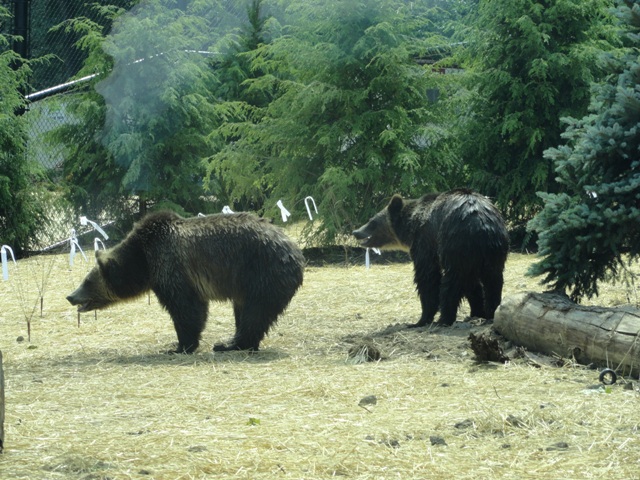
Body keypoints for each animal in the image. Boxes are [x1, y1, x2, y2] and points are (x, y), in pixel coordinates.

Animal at [67, 211, 305, 353]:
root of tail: (295, 251)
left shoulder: (171, 266)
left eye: (87, 281)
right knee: (245, 310)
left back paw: (230, 344)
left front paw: (179, 346)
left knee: (255, 311)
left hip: (261, 272)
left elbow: (186, 308)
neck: (143, 261)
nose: (70, 296)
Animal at [352, 189, 509, 327]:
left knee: (451, 281)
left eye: (372, 221)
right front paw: (477, 311)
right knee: (493, 280)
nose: (356, 231)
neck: (410, 228)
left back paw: (444, 318)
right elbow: (473, 284)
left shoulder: (424, 241)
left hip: (455, 243)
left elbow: (427, 277)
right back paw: (491, 312)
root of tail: (481, 225)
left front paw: (420, 319)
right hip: (493, 251)